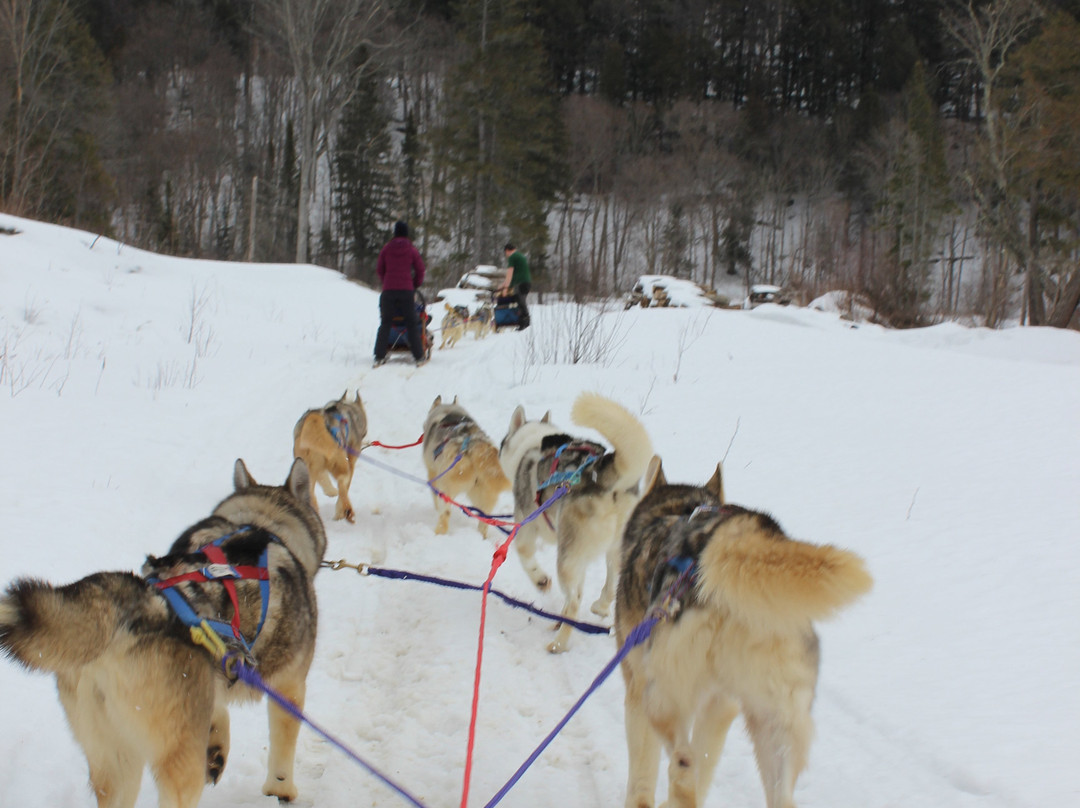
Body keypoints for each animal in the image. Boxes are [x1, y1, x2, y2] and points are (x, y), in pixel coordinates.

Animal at [2, 460, 326, 808]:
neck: (261, 522)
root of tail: (134, 607)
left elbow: (217, 708)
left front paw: (216, 748)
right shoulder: (289, 685)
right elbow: (282, 748)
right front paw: (281, 789)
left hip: (115, 762)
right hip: (177, 765)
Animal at [293, 393, 369, 524]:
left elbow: (324, 479)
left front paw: (330, 491)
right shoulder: (351, 459)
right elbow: (346, 485)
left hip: (306, 466)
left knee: (312, 493)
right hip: (340, 462)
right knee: (342, 484)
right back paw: (346, 511)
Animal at [421, 395, 509, 540]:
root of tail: (471, 443)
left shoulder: (432, 473)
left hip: (446, 490)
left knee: (445, 516)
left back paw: (438, 534)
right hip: (484, 496)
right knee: (484, 522)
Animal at [496, 395, 648, 652]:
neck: (532, 444)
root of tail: (601, 472)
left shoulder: (526, 526)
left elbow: (526, 556)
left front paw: (540, 580)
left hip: (565, 559)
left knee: (574, 602)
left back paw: (558, 643)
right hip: (610, 551)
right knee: (608, 587)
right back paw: (597, 608)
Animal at [613, 460, 872, 808]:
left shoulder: (637, 690)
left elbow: (642, 779)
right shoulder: (722, 705)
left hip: (659, 696)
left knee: (682, 765)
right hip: (775, 723)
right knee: (777, 794)